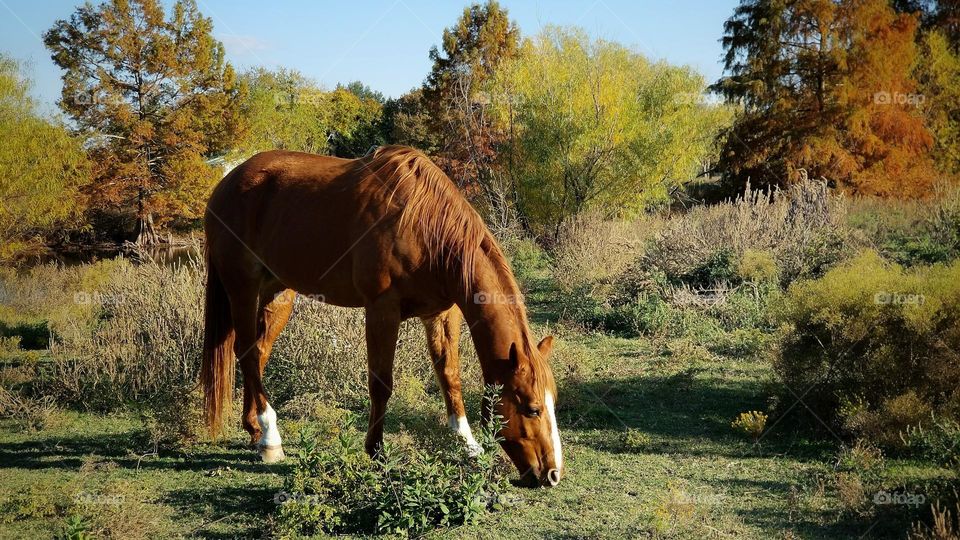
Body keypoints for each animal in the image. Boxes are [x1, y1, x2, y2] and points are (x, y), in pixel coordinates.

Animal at [202, 143, 564, 486]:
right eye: (531, 408)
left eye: (553, 402)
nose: (552, 475)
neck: (425, 225)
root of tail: (227, 184)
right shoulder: (381, 311)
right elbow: (381, 383)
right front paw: (376, 450)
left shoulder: (442, 314)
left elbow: (450, 376)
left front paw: (467, 444)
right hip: (242, 288)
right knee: (247, 354)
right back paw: (269, 437)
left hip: (277, 292)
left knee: (258, 352)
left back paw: (254, 429)